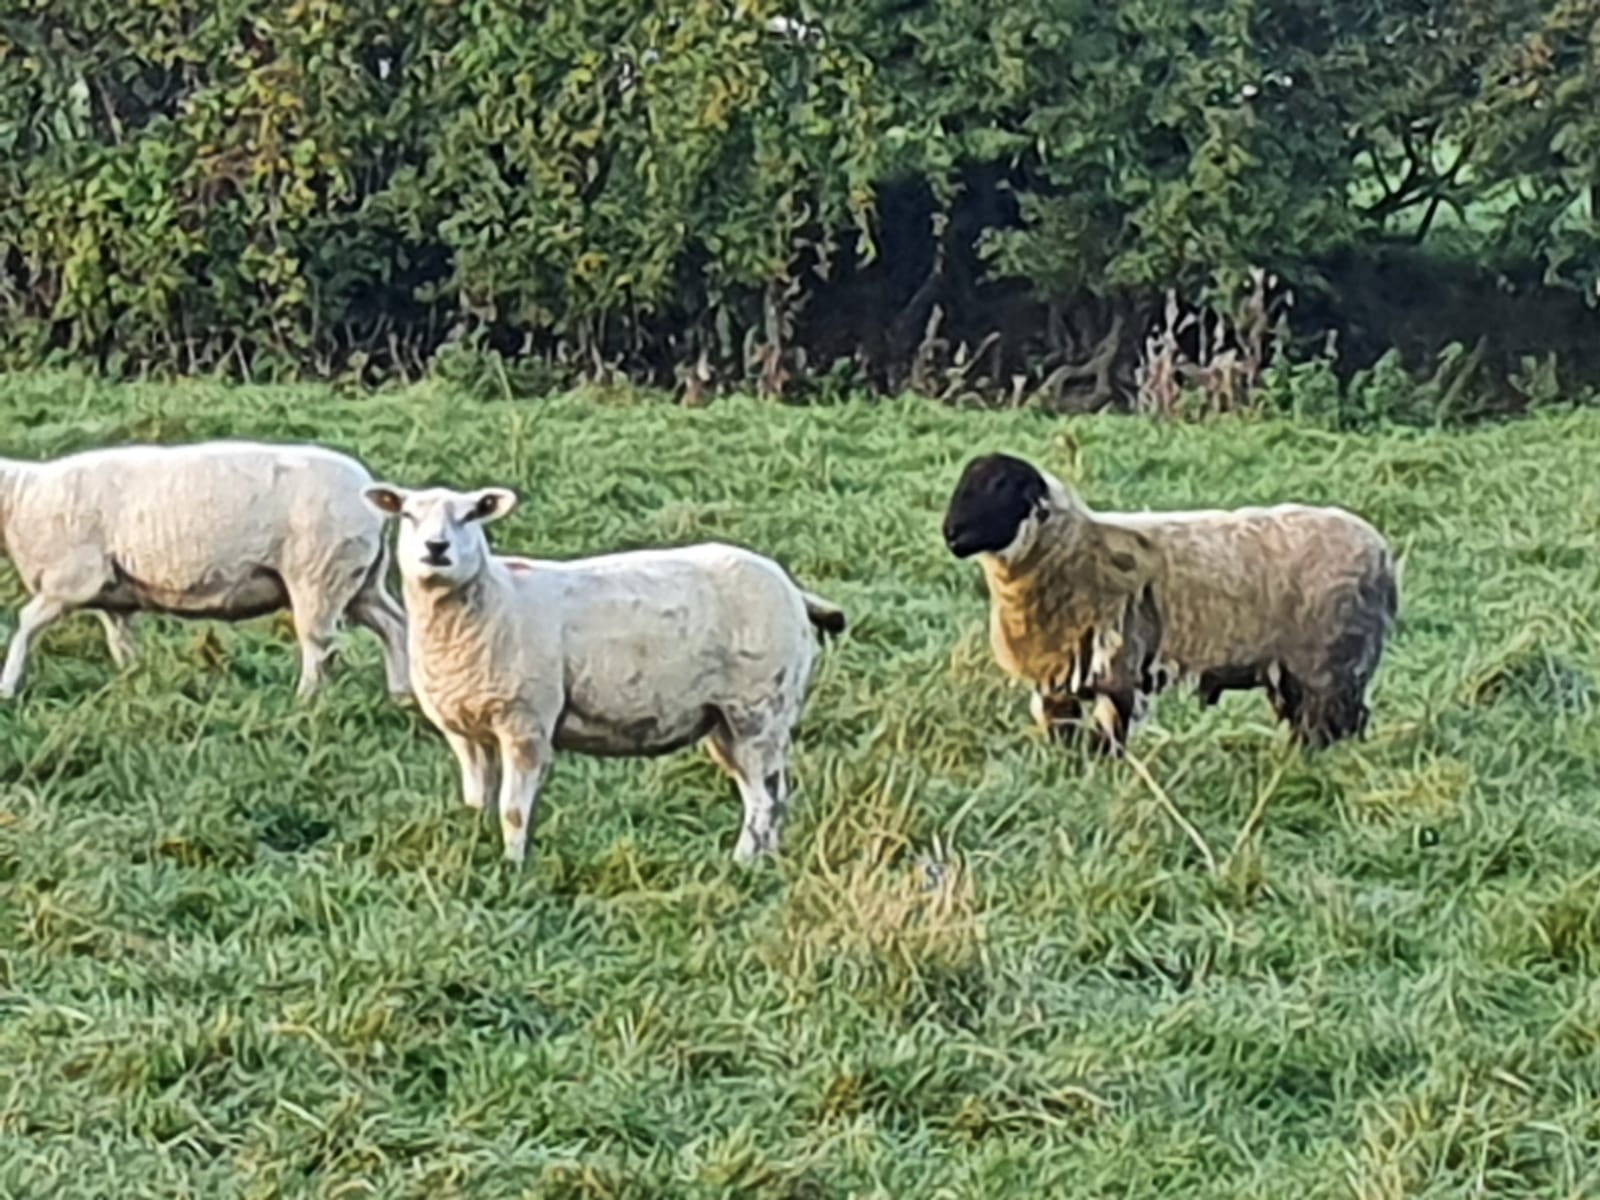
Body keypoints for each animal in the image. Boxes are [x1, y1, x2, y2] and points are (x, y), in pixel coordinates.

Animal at [358, 483, 844, 870]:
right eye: (407, 515)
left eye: (470, 515)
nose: (436, 548)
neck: (490, 602)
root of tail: (791, 588)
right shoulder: (463, 729)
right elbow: (476, 803)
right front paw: (476, 849)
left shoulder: (526, 723)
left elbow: (512, 810)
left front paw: (513, 869)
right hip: (729, 722)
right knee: (773, 794)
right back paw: (767, 863)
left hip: (759, 709)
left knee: (763, 800)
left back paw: (740, 864)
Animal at [940, 451, 1395, 752]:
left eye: (1001, 486)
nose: (950, 534)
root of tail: (1382, 553)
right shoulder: (1057, 680)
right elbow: (1064, 733)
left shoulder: (1120, 669)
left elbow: (1111, 736)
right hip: (1301, 669)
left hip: (1333, 664)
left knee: (1339, 723)